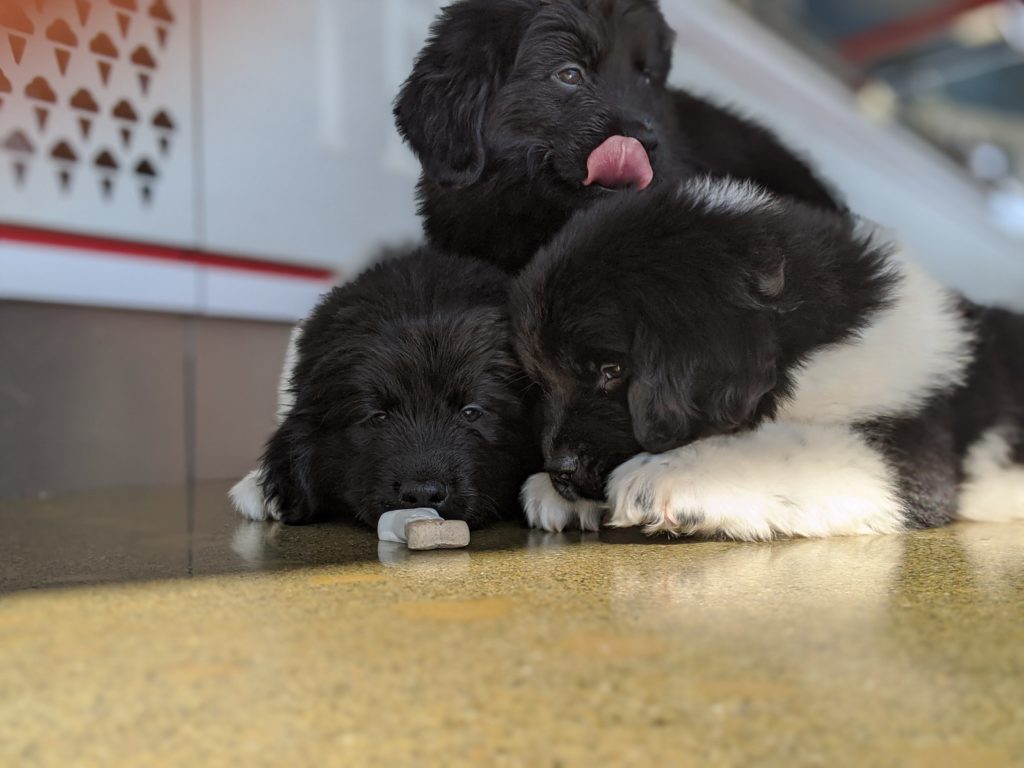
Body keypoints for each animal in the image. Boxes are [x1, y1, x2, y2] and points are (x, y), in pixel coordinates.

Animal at [512, 179, 1024, 540]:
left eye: (612, 372)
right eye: (542, 380)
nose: (559, 472)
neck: (812, 340)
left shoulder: (915, 454)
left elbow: (797, 450)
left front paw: (671, 474)